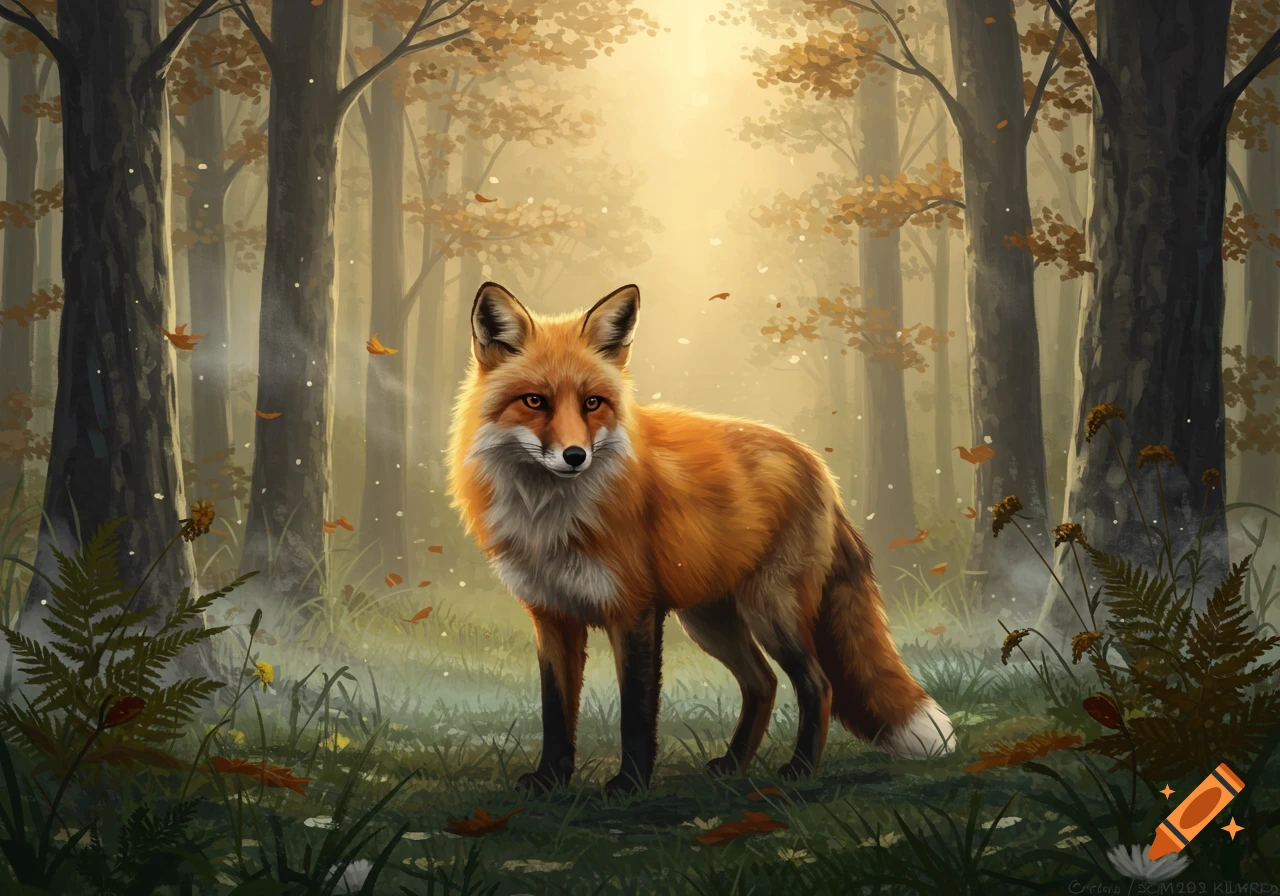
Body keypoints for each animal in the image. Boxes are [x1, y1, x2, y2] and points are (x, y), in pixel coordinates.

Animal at [446, 281, 955, 796]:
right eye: (535, 401)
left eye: (592, 403)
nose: (575, 456)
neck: (550, 517)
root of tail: (815, 463)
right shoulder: (551, 615)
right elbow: (555, 710)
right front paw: (552, 779)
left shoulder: (634, 610)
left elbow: (636, 713)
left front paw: (630, 785)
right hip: (710, 620)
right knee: (763, 683)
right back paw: (734, 764)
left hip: (771, 611)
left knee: (817, 684)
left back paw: (799, 770)